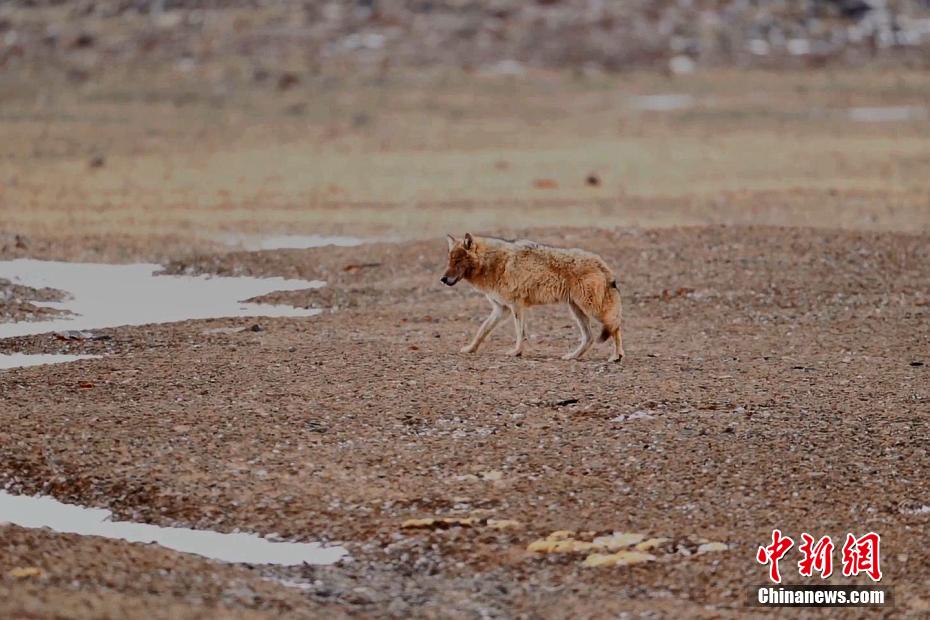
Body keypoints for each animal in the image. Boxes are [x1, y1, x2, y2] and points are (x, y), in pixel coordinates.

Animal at [436, 234, 624, 360]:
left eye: (457, 261)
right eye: (449, 260)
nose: (443, 279)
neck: (493, 264)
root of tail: (602, 264)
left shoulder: (516, 306)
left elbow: (520, 333)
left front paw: (516, 352)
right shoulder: (501, 309)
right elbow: (482, 330)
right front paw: (470, 349)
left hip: (592, 309)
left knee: (614, 327)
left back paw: (616, 356)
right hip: (577, 310)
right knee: (590, 337)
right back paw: (572, 356)